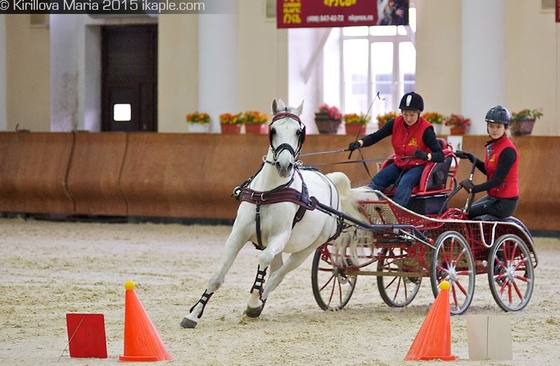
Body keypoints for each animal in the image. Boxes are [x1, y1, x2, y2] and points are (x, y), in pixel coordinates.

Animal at [182, 98, 346, 328]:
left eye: (298, 132)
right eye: (273, 130)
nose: (284, 166)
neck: (267, 193)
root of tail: (329, 180)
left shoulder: (280, 236)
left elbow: (263, 261)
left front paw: (253, 301)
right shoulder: (238, 235)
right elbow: (218, 275)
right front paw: (194, 313)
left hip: (308, 248)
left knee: (279, 274)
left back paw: (256, 304)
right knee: (276, 269)